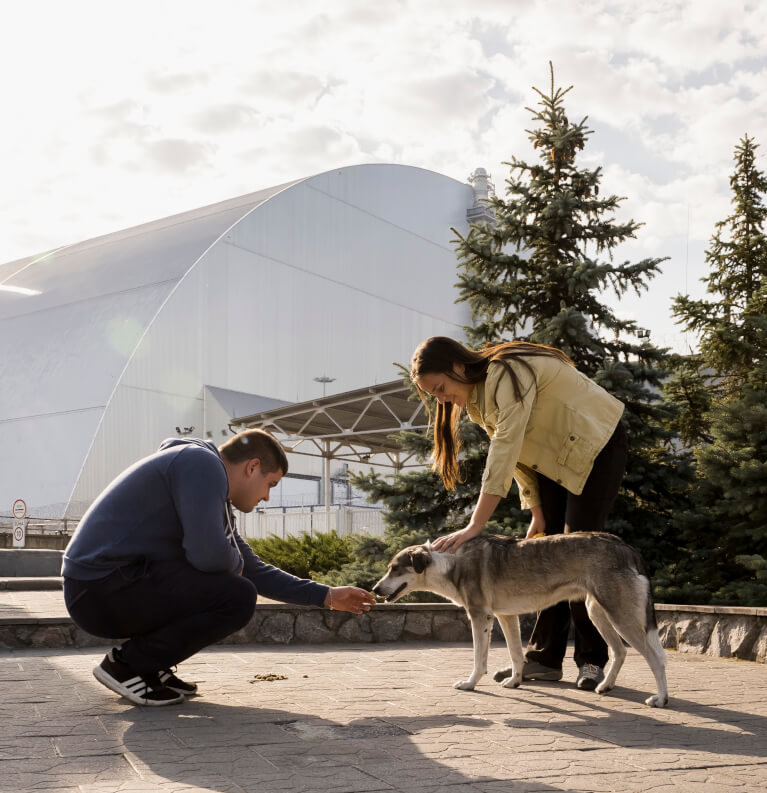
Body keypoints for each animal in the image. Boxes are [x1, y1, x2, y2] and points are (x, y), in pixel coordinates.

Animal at [376, 532, 668, 704]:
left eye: (394, 568)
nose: (375, 590)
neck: (450, 562)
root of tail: (627, 547)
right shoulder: (507, 617)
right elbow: (517, 655)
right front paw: (515, 682)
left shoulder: (480, 617)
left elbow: (478, 661)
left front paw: (470, 684)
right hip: (599, 613)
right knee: (620, 652)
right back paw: (605, 686)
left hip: (620, 616)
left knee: (656, 659)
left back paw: (661, 698)